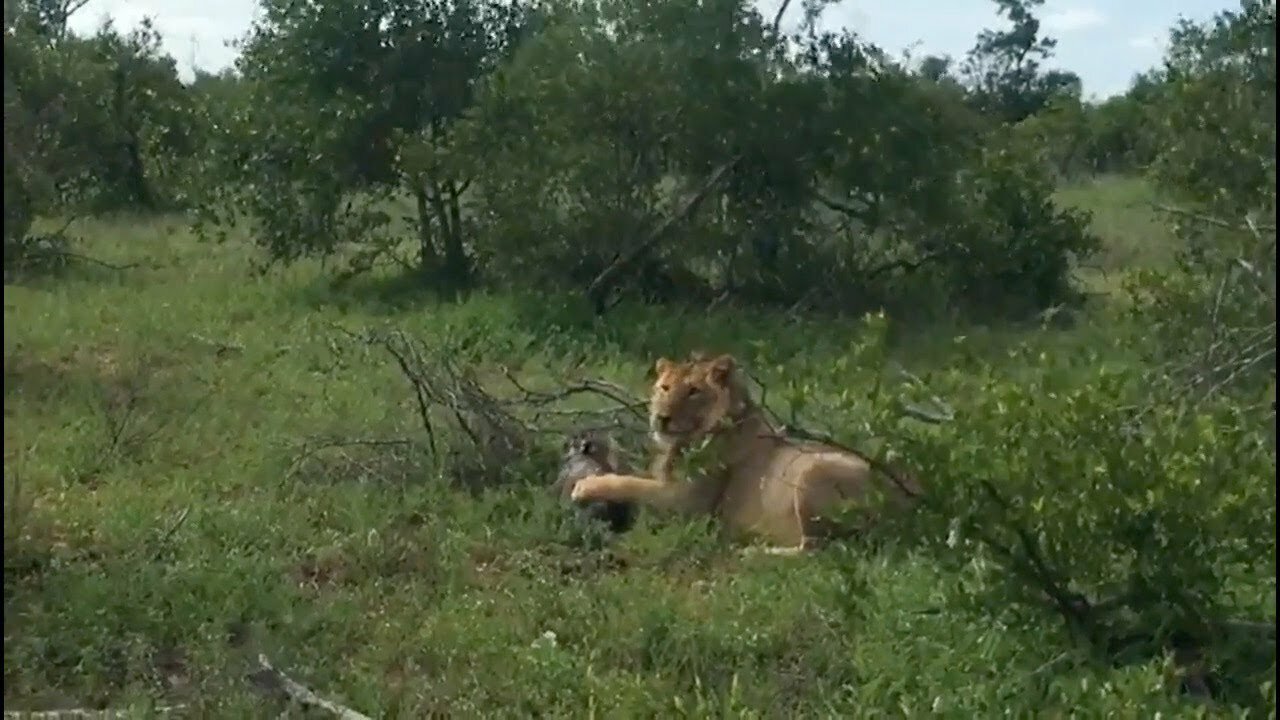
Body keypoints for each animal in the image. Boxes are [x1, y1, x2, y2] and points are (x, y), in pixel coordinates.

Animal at [570, 351, 921, 548]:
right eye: (665, 387)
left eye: (693, 391)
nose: (661, 417)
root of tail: (908, 505)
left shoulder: (689, 504)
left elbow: (631, 484)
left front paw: (585, 486)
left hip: (813, 471)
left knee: (817, 550)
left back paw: (752, 548)